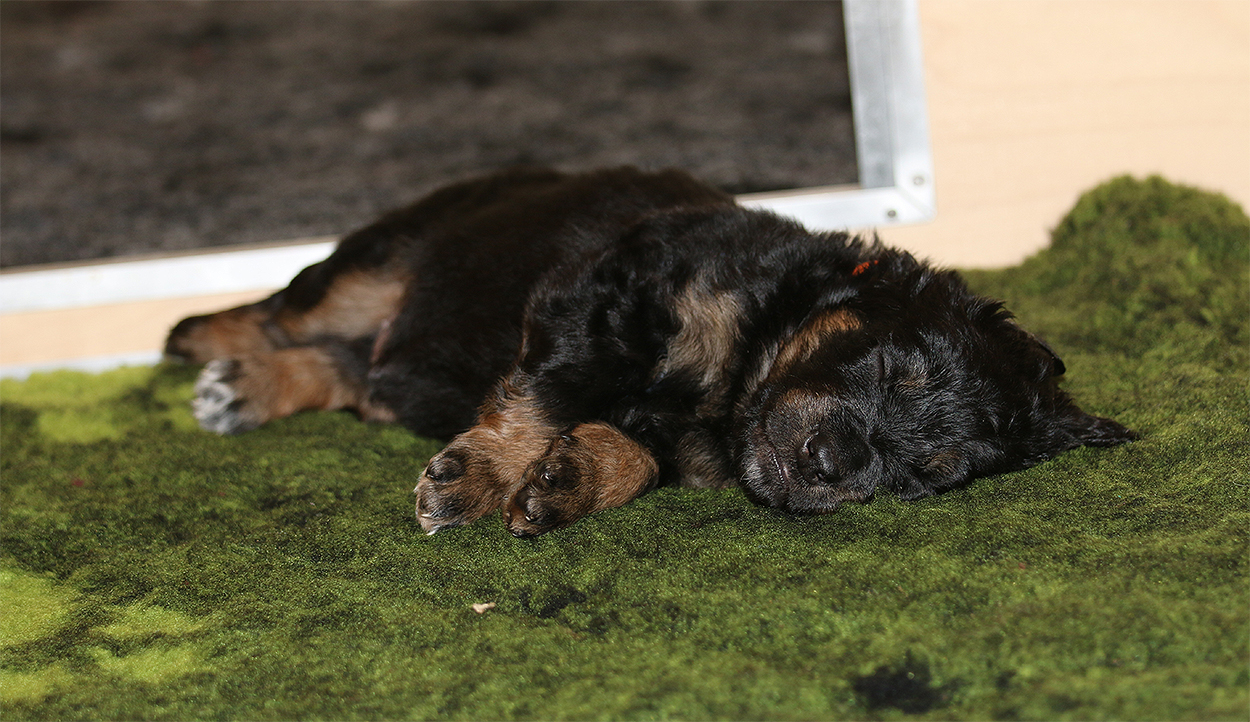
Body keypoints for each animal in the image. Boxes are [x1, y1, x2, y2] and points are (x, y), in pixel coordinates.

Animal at [166, 166, 1137, 537]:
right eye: (895, 367)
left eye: (931, 473)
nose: (830, 464)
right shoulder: (603, 295)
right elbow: (550, 392)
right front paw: (478, 480)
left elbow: (637, 453)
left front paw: (565, 481)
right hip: (388, 254)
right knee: (292, 303)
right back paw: (208, 349)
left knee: (351, 371)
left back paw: (251, 386)